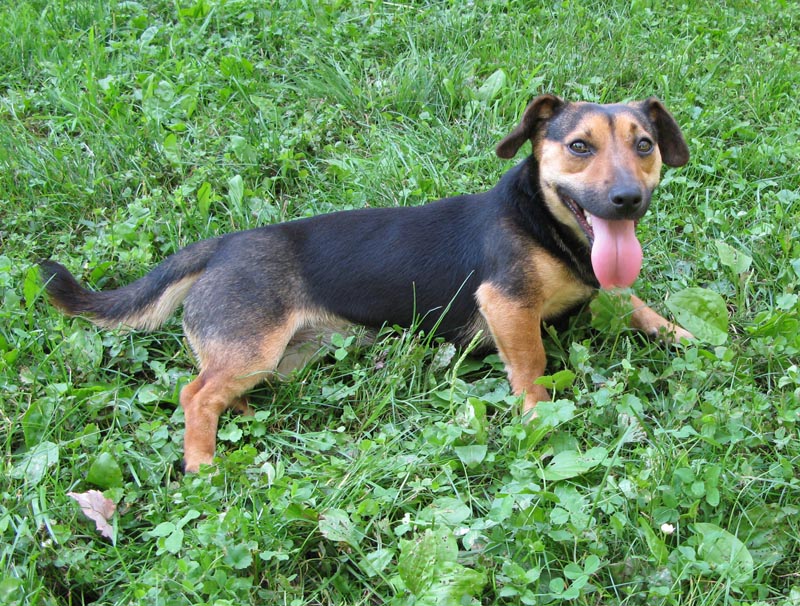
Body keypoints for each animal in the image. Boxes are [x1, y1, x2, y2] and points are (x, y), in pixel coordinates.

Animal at [40, 96, 692, 476]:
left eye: (645, 145)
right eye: (579, 146)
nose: (627, 200)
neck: (544, 223)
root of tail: (219, 247)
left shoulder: (607, 287)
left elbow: (640, 305)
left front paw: (687, 337)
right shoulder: (507, 305)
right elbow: (531, 367)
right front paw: (539, 421)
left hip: (281, 358)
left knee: (217, 389)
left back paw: (245, 420)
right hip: (254, 347)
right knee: (194, 395)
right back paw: (203, 464)